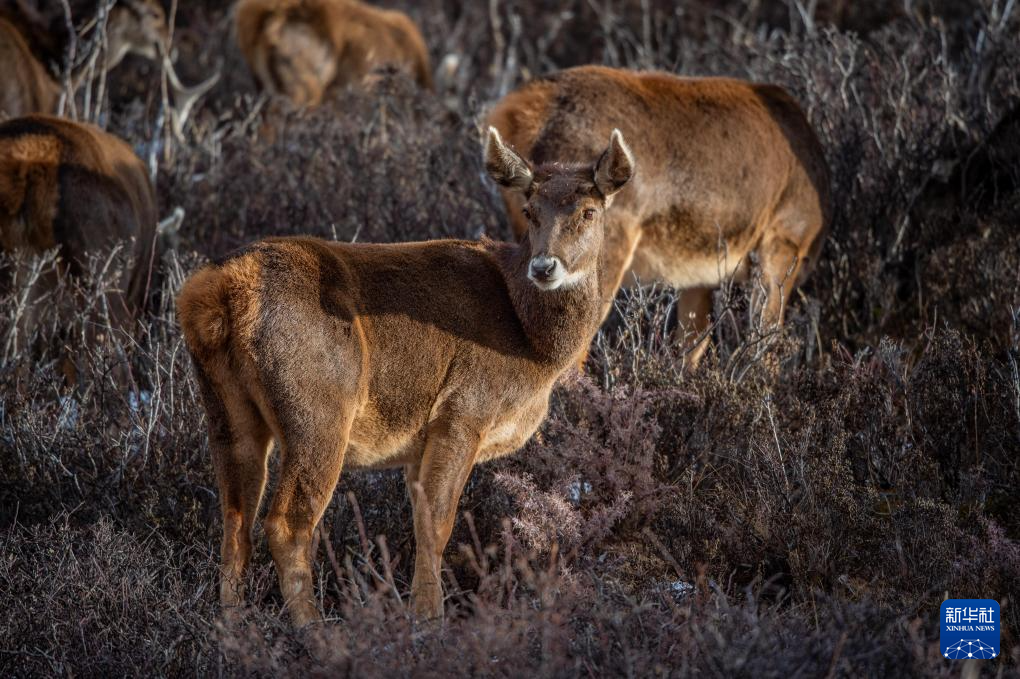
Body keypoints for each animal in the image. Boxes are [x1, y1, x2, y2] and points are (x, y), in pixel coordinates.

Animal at [176, 126, 636, 626]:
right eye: (530, 210)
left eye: (589, 211)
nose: (545, 266)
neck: (530, 343)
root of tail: (217, 295)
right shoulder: (464, 409)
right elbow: (438, 524)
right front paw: (428, 617)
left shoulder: (419, 442)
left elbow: (420, 520)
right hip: (317, 406)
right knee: (285, 523)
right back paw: (312, 626)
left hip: (225, 405)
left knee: (234, 518)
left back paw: (232, 625)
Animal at [486, 66, 831, 368]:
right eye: (530, 210)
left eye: (588, 211)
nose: (544, 267)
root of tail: (516, 113)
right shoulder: (783, 242)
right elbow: (765, 350)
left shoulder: (699, 277)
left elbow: (689, 349)